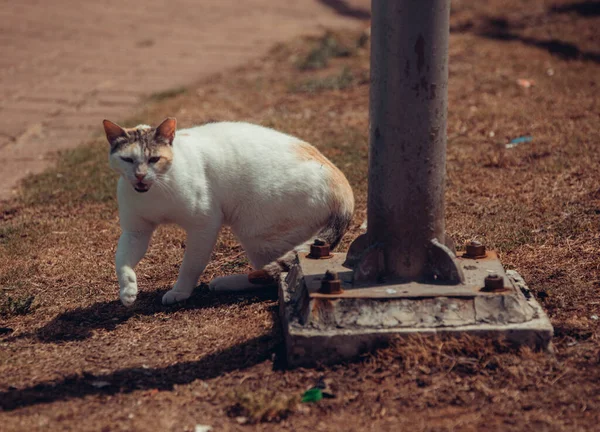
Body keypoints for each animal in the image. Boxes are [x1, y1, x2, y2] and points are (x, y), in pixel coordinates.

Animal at [102, 117, 354, 308]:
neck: (156, 189)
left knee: (272, 276)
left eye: (154, 159)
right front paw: (127, 290)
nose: (140, 176)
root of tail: (343, 185)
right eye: (128, 159)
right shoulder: (135, 232)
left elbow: (190, 265)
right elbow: (121, 260)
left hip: (254, 231)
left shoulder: (204, 226)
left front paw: (180, 291)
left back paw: (226, 283)